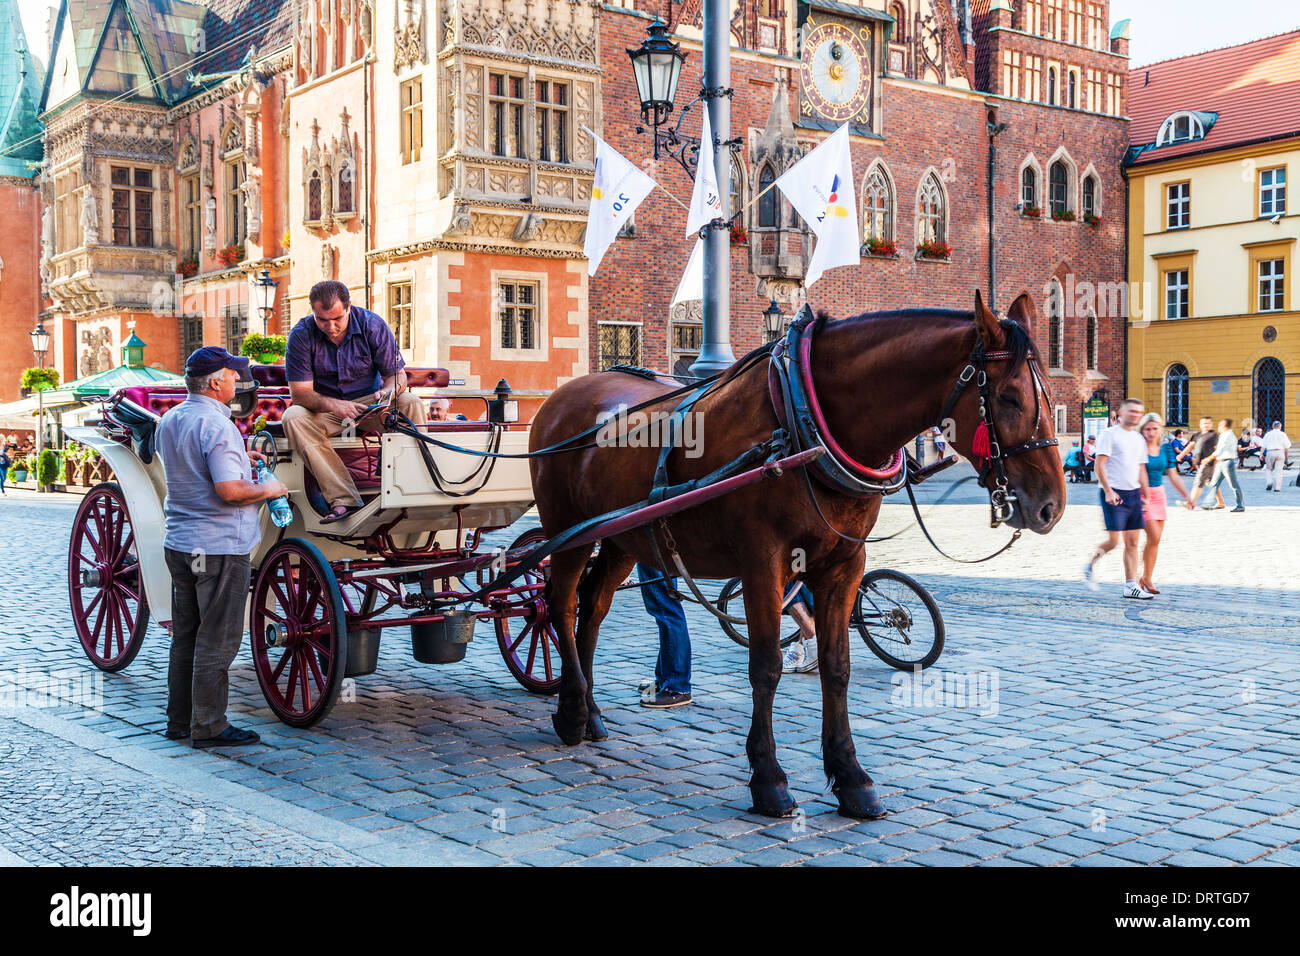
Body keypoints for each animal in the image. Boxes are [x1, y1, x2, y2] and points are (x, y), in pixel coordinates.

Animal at [527, 290, 1066, 816]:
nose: (1050, 507)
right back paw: (571, 712)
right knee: (562, 604)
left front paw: (851, 778)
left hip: (624, 536)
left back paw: (590, 711)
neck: (803, 420)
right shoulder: (762, 563)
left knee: (593, 609)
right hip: (567, 531)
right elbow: (766, 666)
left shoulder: (844, 565)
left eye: (1048, 394)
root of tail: (562, 397)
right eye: (1009, 397)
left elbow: (837, 665)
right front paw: (768, 779)